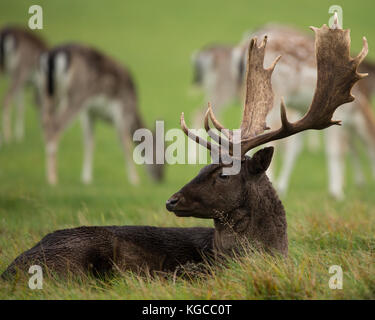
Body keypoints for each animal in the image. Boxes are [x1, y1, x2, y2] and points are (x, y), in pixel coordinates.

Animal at [37, 43, 164, 186]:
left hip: (46, 92)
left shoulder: (89, 113)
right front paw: (135, 181)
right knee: (55, 125)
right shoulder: (123, 110)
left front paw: (86, 178)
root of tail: (52, 56)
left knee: (45, 122)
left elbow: (89, 142)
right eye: (164, 155)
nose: (161, 178)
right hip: (76, 94)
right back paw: (52, 178)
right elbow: (125, 143)